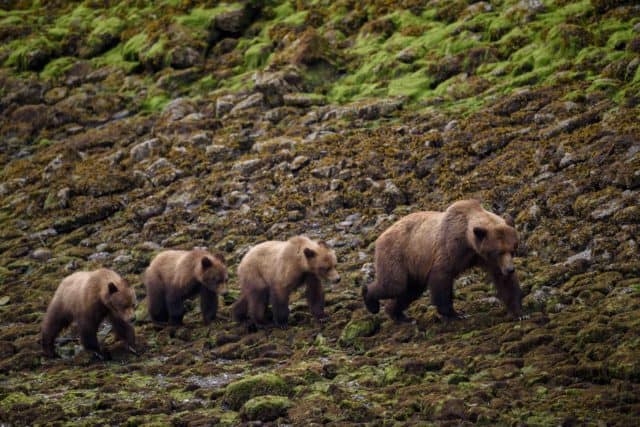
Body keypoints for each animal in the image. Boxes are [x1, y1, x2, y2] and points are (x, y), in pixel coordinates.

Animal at [362, 201, 524, 324]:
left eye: (513, 249)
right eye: (499, 251)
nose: (510, 269)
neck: (468, 242)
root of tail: (381, 235)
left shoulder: (485, 257)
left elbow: (504, 281)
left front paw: (518, 312)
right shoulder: (450, 247)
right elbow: (442, 277)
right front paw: (455, 314)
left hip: (414, 266)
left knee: (410, 290)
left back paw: (398, 315)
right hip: (398, 254)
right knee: (394, 284)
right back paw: (370, 300)